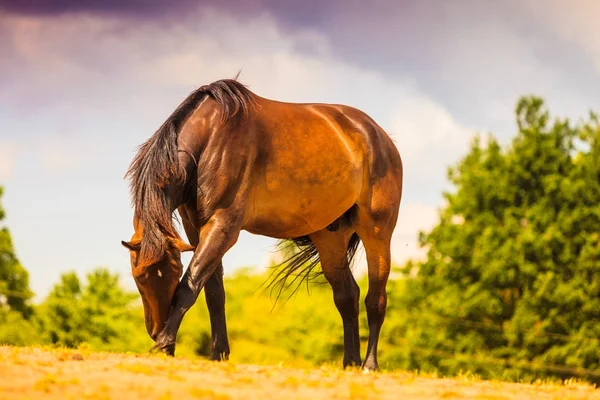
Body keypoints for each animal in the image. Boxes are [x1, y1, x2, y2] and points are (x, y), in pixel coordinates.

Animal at [121, 76, 404, 370]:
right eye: (139, 276)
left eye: (174, 271)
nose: (155, 329)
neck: (212, 137)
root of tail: (379, 136)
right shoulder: (195, 227)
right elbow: (213, 291)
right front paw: (218, 352)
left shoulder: (223, 226)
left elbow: (191, 284)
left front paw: (164, 345)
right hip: (330, 237)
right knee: (347, 296)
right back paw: (350, 362)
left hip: (377, 232)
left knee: (375, 299)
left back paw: (369, 365)